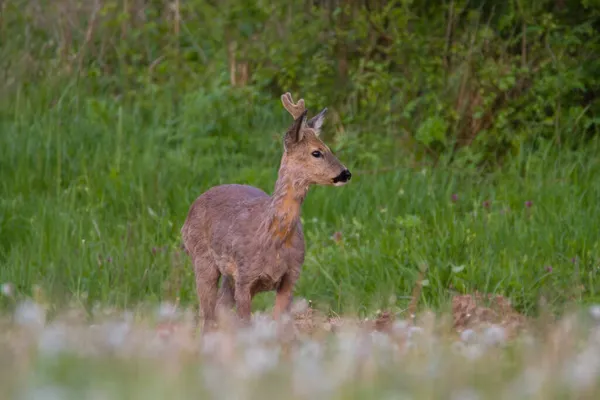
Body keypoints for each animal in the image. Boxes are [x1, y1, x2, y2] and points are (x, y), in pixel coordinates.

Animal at [183, 92, 352, 330]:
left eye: (329, 147)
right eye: (316, 152)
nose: (346, 173)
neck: (273, 238)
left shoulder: (291, 277)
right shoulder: (245, 277)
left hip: (227, 277)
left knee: (219, 310)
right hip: (202, 259)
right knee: (207, 316)